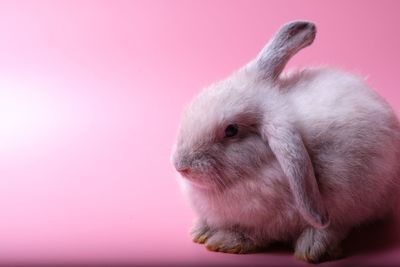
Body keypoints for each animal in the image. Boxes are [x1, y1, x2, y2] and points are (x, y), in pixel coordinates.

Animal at [170, 21, 400, 264]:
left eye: (231, 130)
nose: (180, 165)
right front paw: (201, 231)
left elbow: (255, 234)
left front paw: (225, 241)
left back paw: (312, 247)